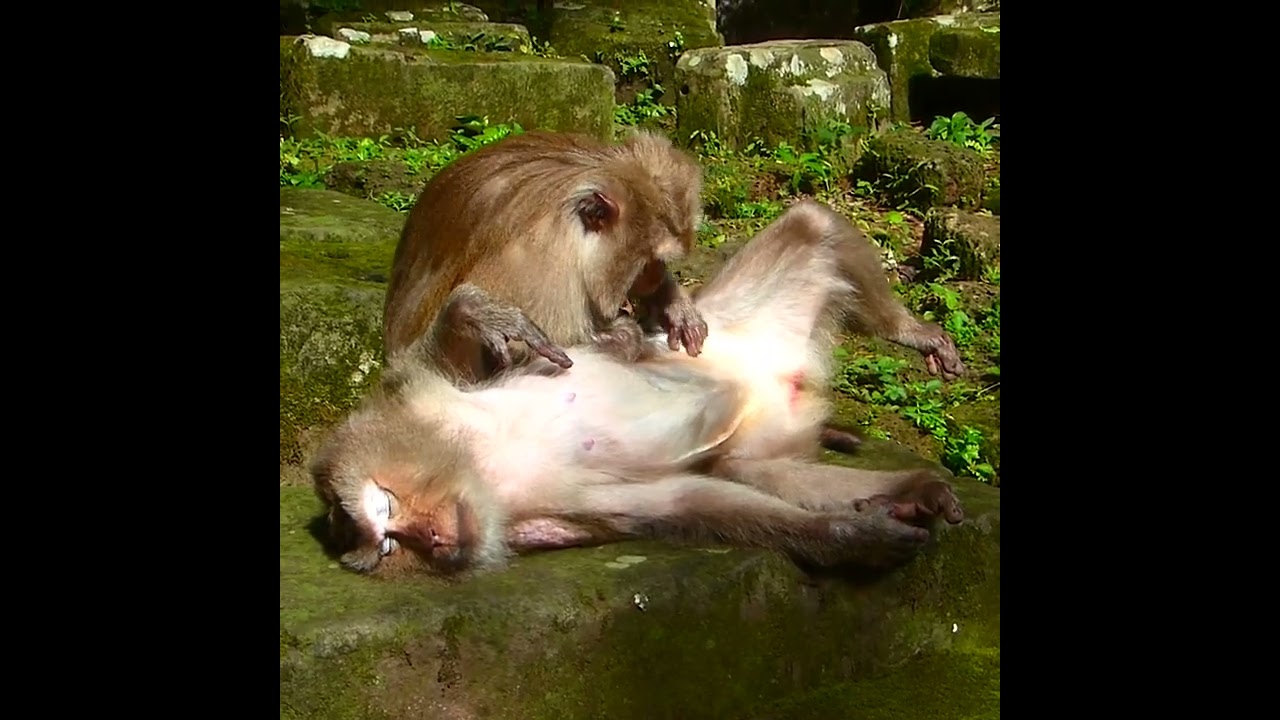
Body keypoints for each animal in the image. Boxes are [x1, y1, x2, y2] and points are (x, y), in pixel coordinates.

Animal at [312, 199, 965, 577]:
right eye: (392, 545)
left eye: (385, 512)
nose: (428, 539)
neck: (475, 455)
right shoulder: (524, 513)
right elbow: (683, 503)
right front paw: (849, 536)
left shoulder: (415, 402)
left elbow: (435, 353)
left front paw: (480, 315)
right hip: (762, 431)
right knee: (749, 471)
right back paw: (905, 490)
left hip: (725, 322)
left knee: (813, 223)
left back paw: (908, 331)